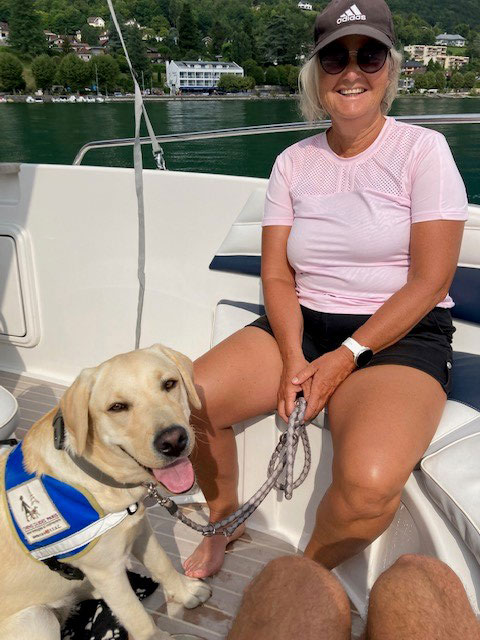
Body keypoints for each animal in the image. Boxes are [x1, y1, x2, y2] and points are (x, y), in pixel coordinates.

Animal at [0, 344, 212, 640]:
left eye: (169, 384)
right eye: (117, 407)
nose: (173, 441)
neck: (99, 474)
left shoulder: (141, 530)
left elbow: (162, 564)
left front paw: (186, 592)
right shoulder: (107, 572)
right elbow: (139, 619)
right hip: (38, 619)